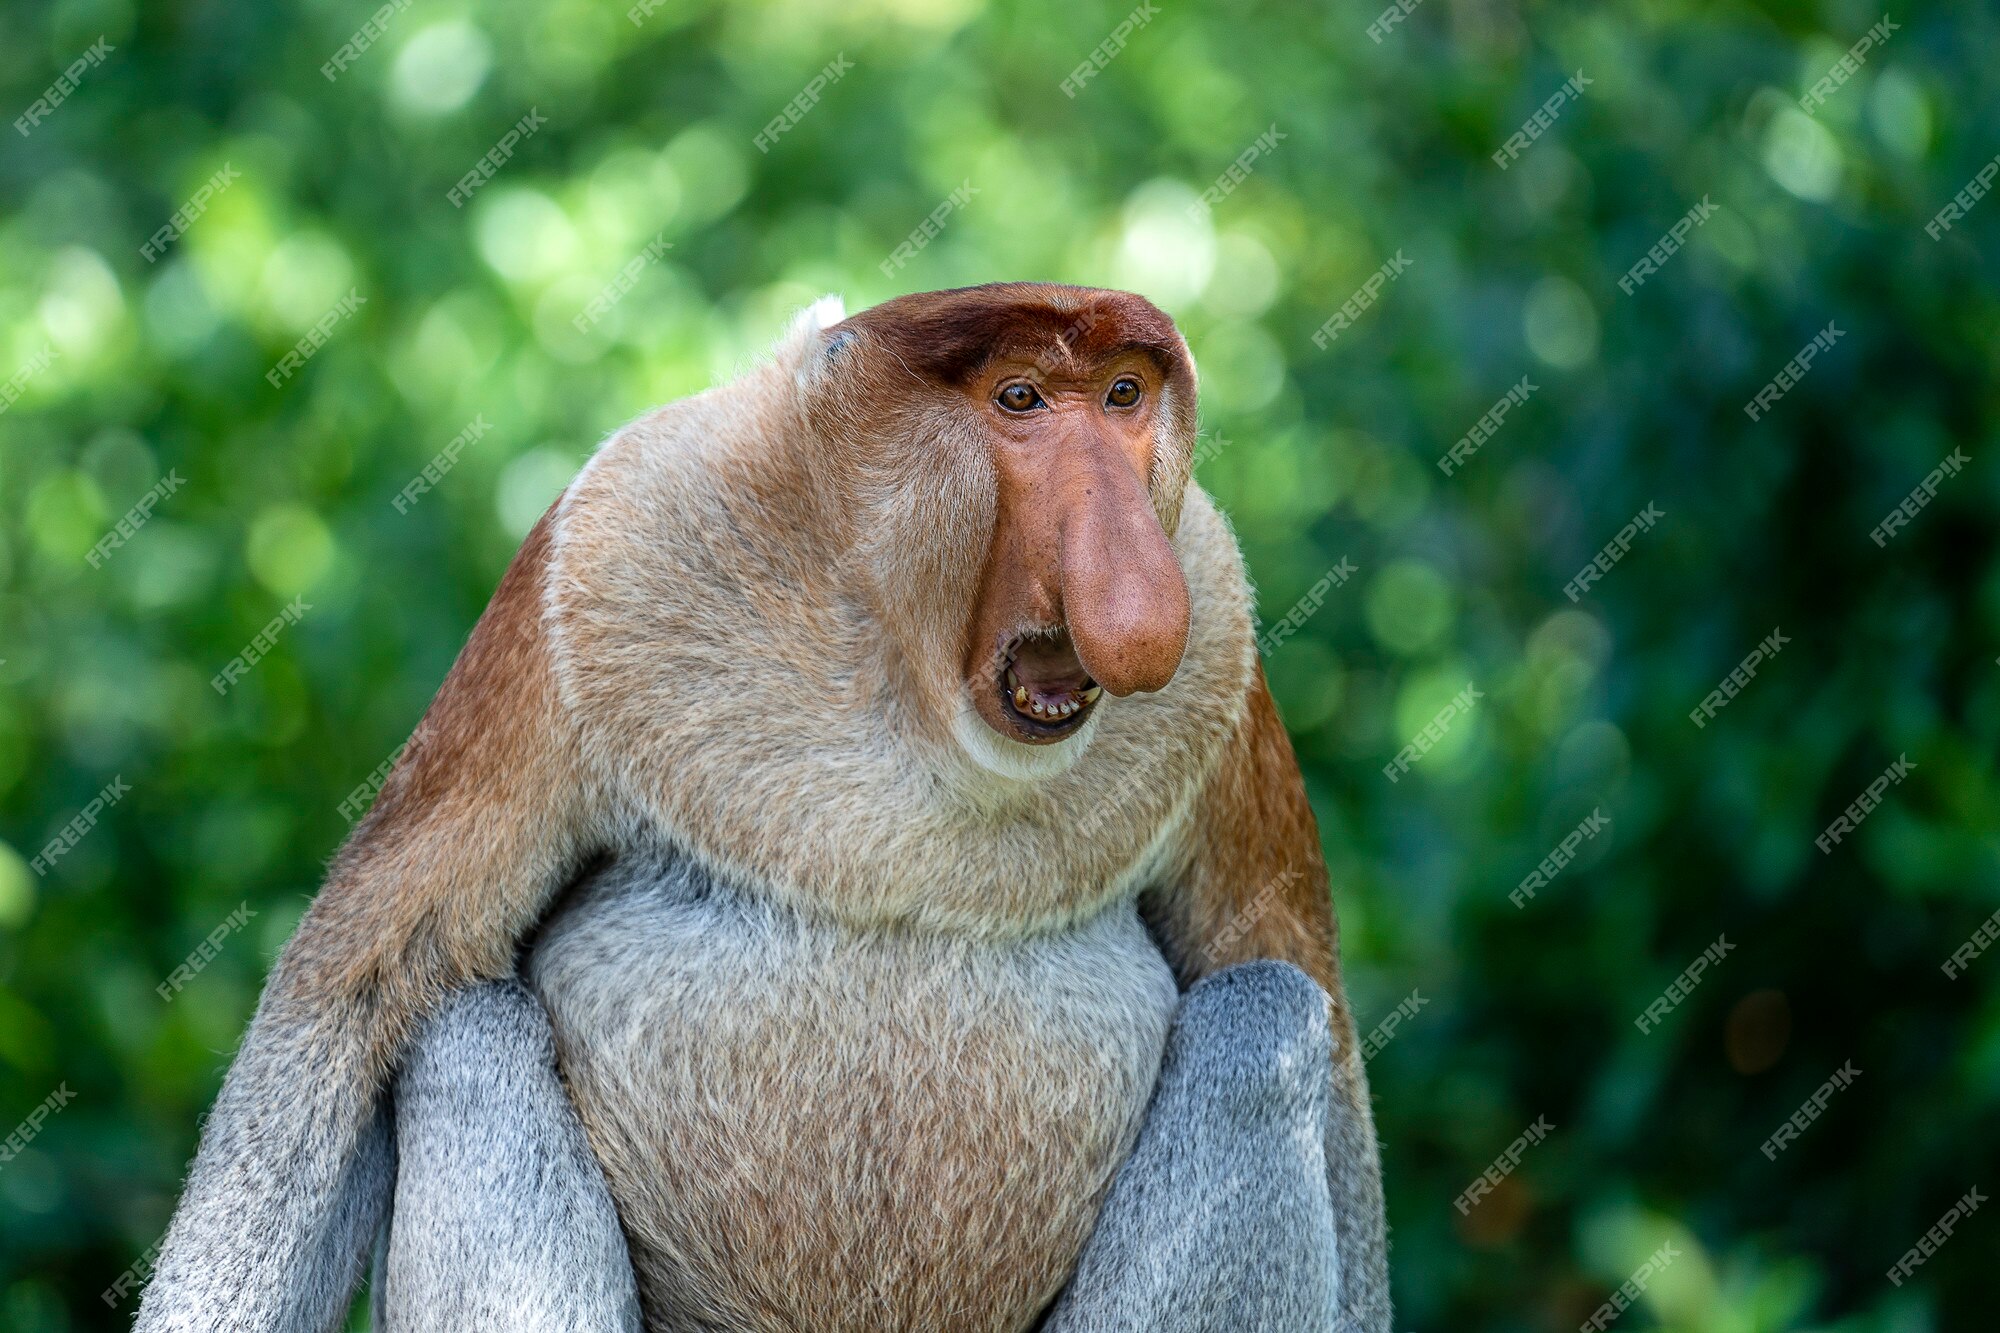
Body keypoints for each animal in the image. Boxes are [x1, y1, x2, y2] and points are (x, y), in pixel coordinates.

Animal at [137, 286, 1392, 1328]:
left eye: (1124, 396)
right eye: (1020, 399)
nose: (1132, 585)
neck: (897, 667)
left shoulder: (1217, 627)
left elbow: (1297, 989)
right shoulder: (595, 557)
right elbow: (355, 988)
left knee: (1265, 1018)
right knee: (464, 1029)